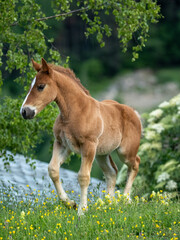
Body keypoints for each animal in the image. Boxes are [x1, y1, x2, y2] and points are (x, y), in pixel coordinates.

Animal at [20, 58, 142, 216]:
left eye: (41, 86)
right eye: (31, 85)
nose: (25, 111)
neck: (74, 112)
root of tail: (134, 113)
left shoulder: (88, 146)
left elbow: (83, 176)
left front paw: (82, 210)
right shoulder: (62, 144)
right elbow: (53, 170)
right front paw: (69, 203)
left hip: (125, 152)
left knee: (135, 164)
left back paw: (125, 199)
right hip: (102, 154)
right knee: (112, 172)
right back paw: (108, 204)